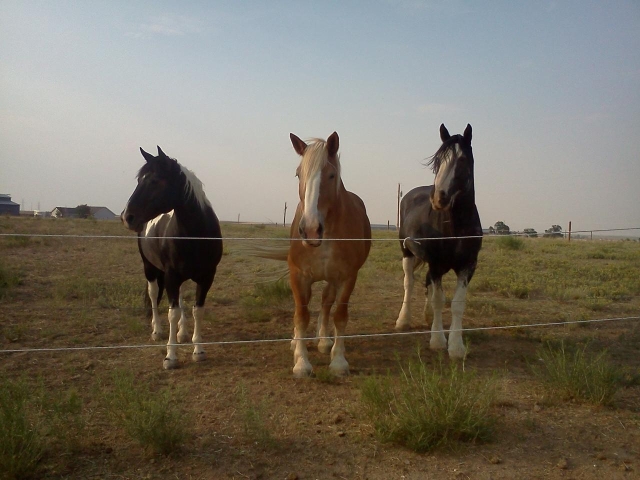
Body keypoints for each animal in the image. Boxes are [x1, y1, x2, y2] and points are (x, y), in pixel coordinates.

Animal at [121, 144, 224, 370]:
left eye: (155, 181)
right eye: (139, 180)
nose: (127, 217)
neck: (196, 235)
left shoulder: (207, 277)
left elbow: (197, 310)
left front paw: (198, 350)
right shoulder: (170, 276)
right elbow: (172, 313)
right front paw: (170, 356)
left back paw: (182, 332)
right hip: (150, 268)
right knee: (153, 295)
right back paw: (157, 330)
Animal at [288, 132, 372, 378]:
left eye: (332, 175)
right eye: (298, 174)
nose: (310, 229)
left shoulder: (346, 277)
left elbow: (340, 316)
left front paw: (338, 361)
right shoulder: (298, 276)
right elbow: (301, 316)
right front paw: (301, 362)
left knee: (326, 302)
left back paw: (325, 341)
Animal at [398, 125, 482, 358]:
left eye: (462, 160)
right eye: (438, 162)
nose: (438, 198)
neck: (457, 228)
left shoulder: (468, 266)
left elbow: (457, 304)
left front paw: (456, 346)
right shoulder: (436, 264)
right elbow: (438, 300)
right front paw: (437, 340)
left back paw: (427, 318)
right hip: (407, 253)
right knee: (409, 283)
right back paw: (403, 320)